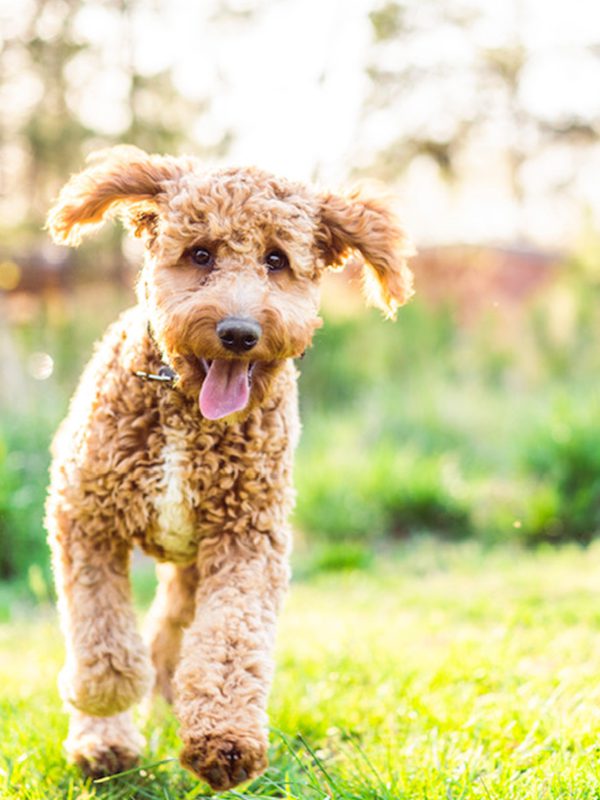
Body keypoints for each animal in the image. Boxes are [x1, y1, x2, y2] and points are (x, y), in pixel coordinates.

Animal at [45, 145, 414, 790]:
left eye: (276, 259)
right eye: (200, 254)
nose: (238, 333)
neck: (184, 409)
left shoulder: (247, 539)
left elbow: (229, 639)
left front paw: (224, 742)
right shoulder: (84, 518)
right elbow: (102, 641)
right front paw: (104, 707)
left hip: (193, 568)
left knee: (171, 636)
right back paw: (104, 744)